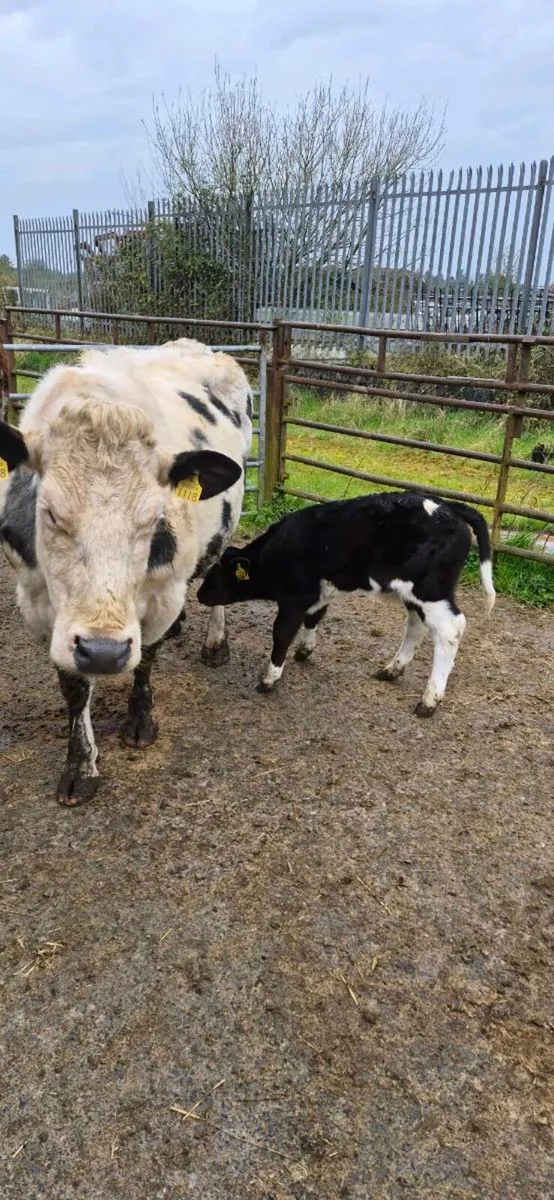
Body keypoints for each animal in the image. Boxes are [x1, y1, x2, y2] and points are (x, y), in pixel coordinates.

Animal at [0, 338, 252, 805]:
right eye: (51, 513)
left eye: (153, 516)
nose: (104, 652)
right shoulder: (39, 606)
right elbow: (73, 686)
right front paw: (80, 766)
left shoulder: (164, 591)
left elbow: (146, 658)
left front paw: (139, 720)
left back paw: (215, 644)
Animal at [197, 492, 496, 717]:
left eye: (216, 576)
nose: (199, 595)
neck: (276, 552)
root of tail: (448, 506)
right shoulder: (317, 595)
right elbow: (314, 618)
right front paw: (305, 650)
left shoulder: (293, 599)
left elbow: (281, 634)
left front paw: (270, 678)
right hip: (414, 594)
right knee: (416, 625)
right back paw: (392, 669)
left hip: (431, 591)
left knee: (450, 630)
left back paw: (429, 700)